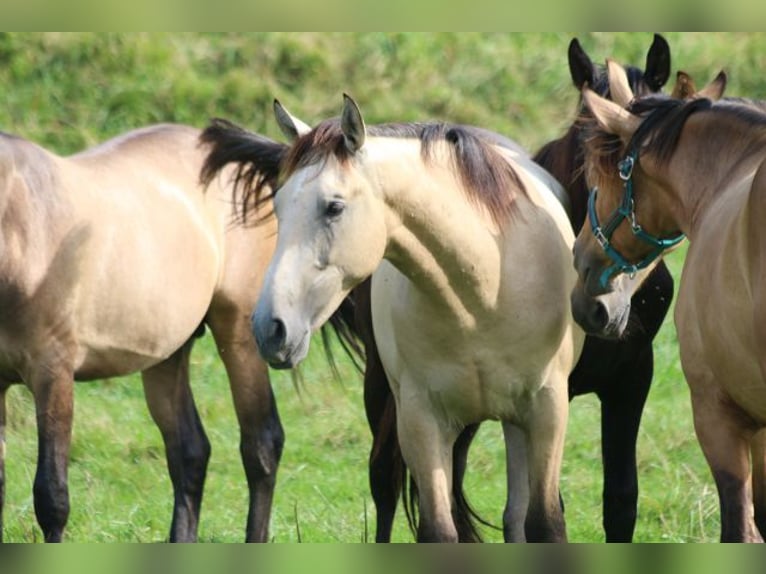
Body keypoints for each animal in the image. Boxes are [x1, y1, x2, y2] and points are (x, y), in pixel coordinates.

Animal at [0, 122, 334, 544]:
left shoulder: (52, 373)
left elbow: (51, 496)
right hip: (167, 355)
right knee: (189, 453)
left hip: (241, 335)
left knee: (261, 444)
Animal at [254, 95, 588, 544]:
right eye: (277, 205)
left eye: (334, 207)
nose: (269, 328)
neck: (483, 290)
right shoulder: (421, 419)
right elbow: (438, 530)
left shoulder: (546, 410)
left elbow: (543, 523)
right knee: (384, 483)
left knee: (515, 515)